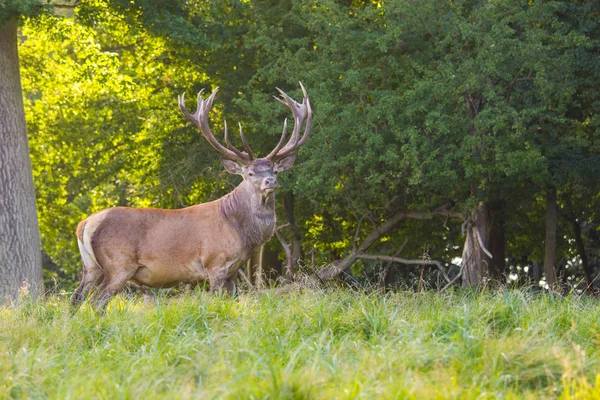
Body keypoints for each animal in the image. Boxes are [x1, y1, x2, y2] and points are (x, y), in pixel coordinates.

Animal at [70, 82, 312, 312]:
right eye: (250, 173)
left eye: (275, 171)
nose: (270, 182)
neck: (241, 231)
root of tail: (84, 224)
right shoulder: (215, 263)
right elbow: (218, 302)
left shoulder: (233, 271)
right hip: (118, 264)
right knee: (97, 301)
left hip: (91, 266)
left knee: (76, 298)